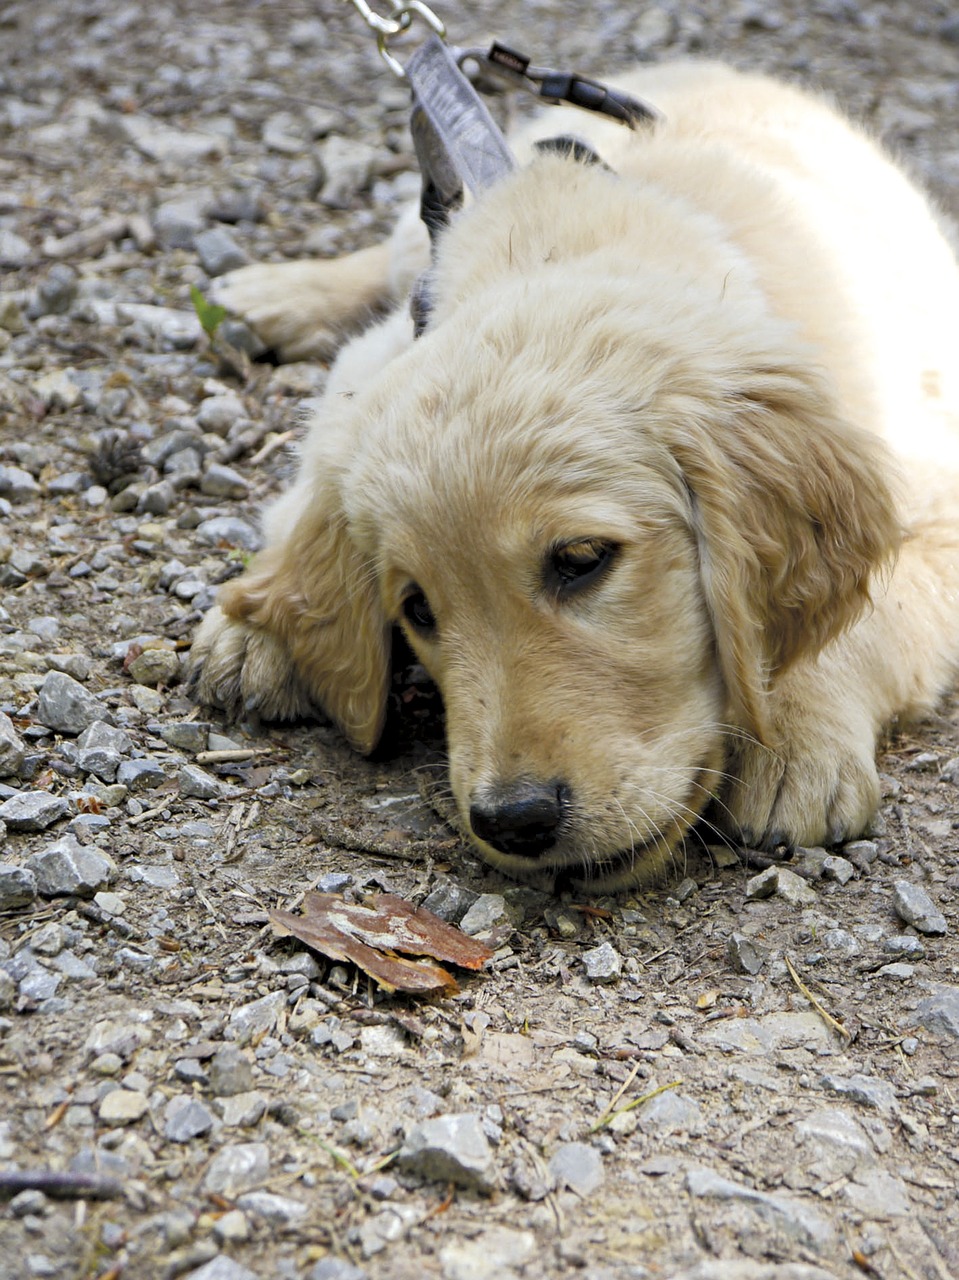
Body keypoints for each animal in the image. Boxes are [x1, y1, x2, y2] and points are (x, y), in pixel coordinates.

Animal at [190, 60, 957, 896]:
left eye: (581, 561)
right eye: (416, 609)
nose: (512, 821)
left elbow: (869, 620)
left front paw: (794, 739)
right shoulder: (366, 369)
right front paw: (262, 623)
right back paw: (272, 294)